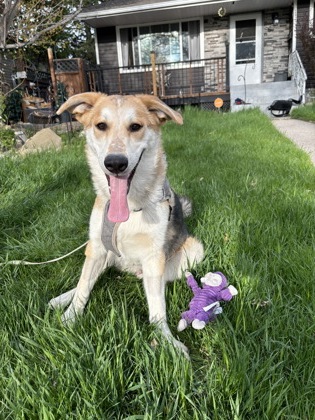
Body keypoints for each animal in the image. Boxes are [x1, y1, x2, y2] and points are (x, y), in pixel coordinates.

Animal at [48, 93, 204, 356]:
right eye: (101, 126)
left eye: (135, 126)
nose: (115, 163)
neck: (129, 209)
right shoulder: (97, 247)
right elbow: (83, 286)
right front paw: (70, 318)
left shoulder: (154, 257)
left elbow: (157, 309)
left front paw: (167, 342)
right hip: (104, 252)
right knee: (91, 276)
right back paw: (61, 299)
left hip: (192, 252)